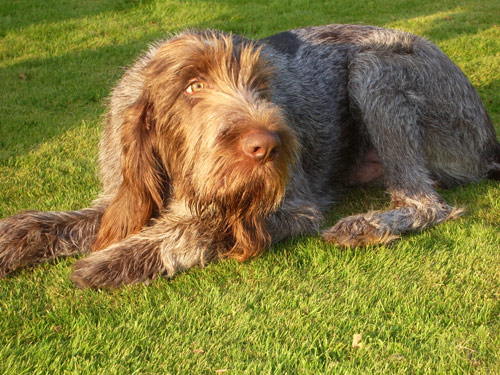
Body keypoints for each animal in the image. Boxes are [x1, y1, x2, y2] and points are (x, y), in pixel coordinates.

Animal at [0, 25, 500, 290]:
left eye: (261, 86)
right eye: (193, 86)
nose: (268, 145)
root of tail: (490, 142)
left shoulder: (294, 208)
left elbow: (203, 224)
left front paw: (112, 261)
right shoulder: (123, 196)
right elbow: (63, 222)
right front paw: (13, 237)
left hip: (375, 67)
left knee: (427, 203)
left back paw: (368, 225)